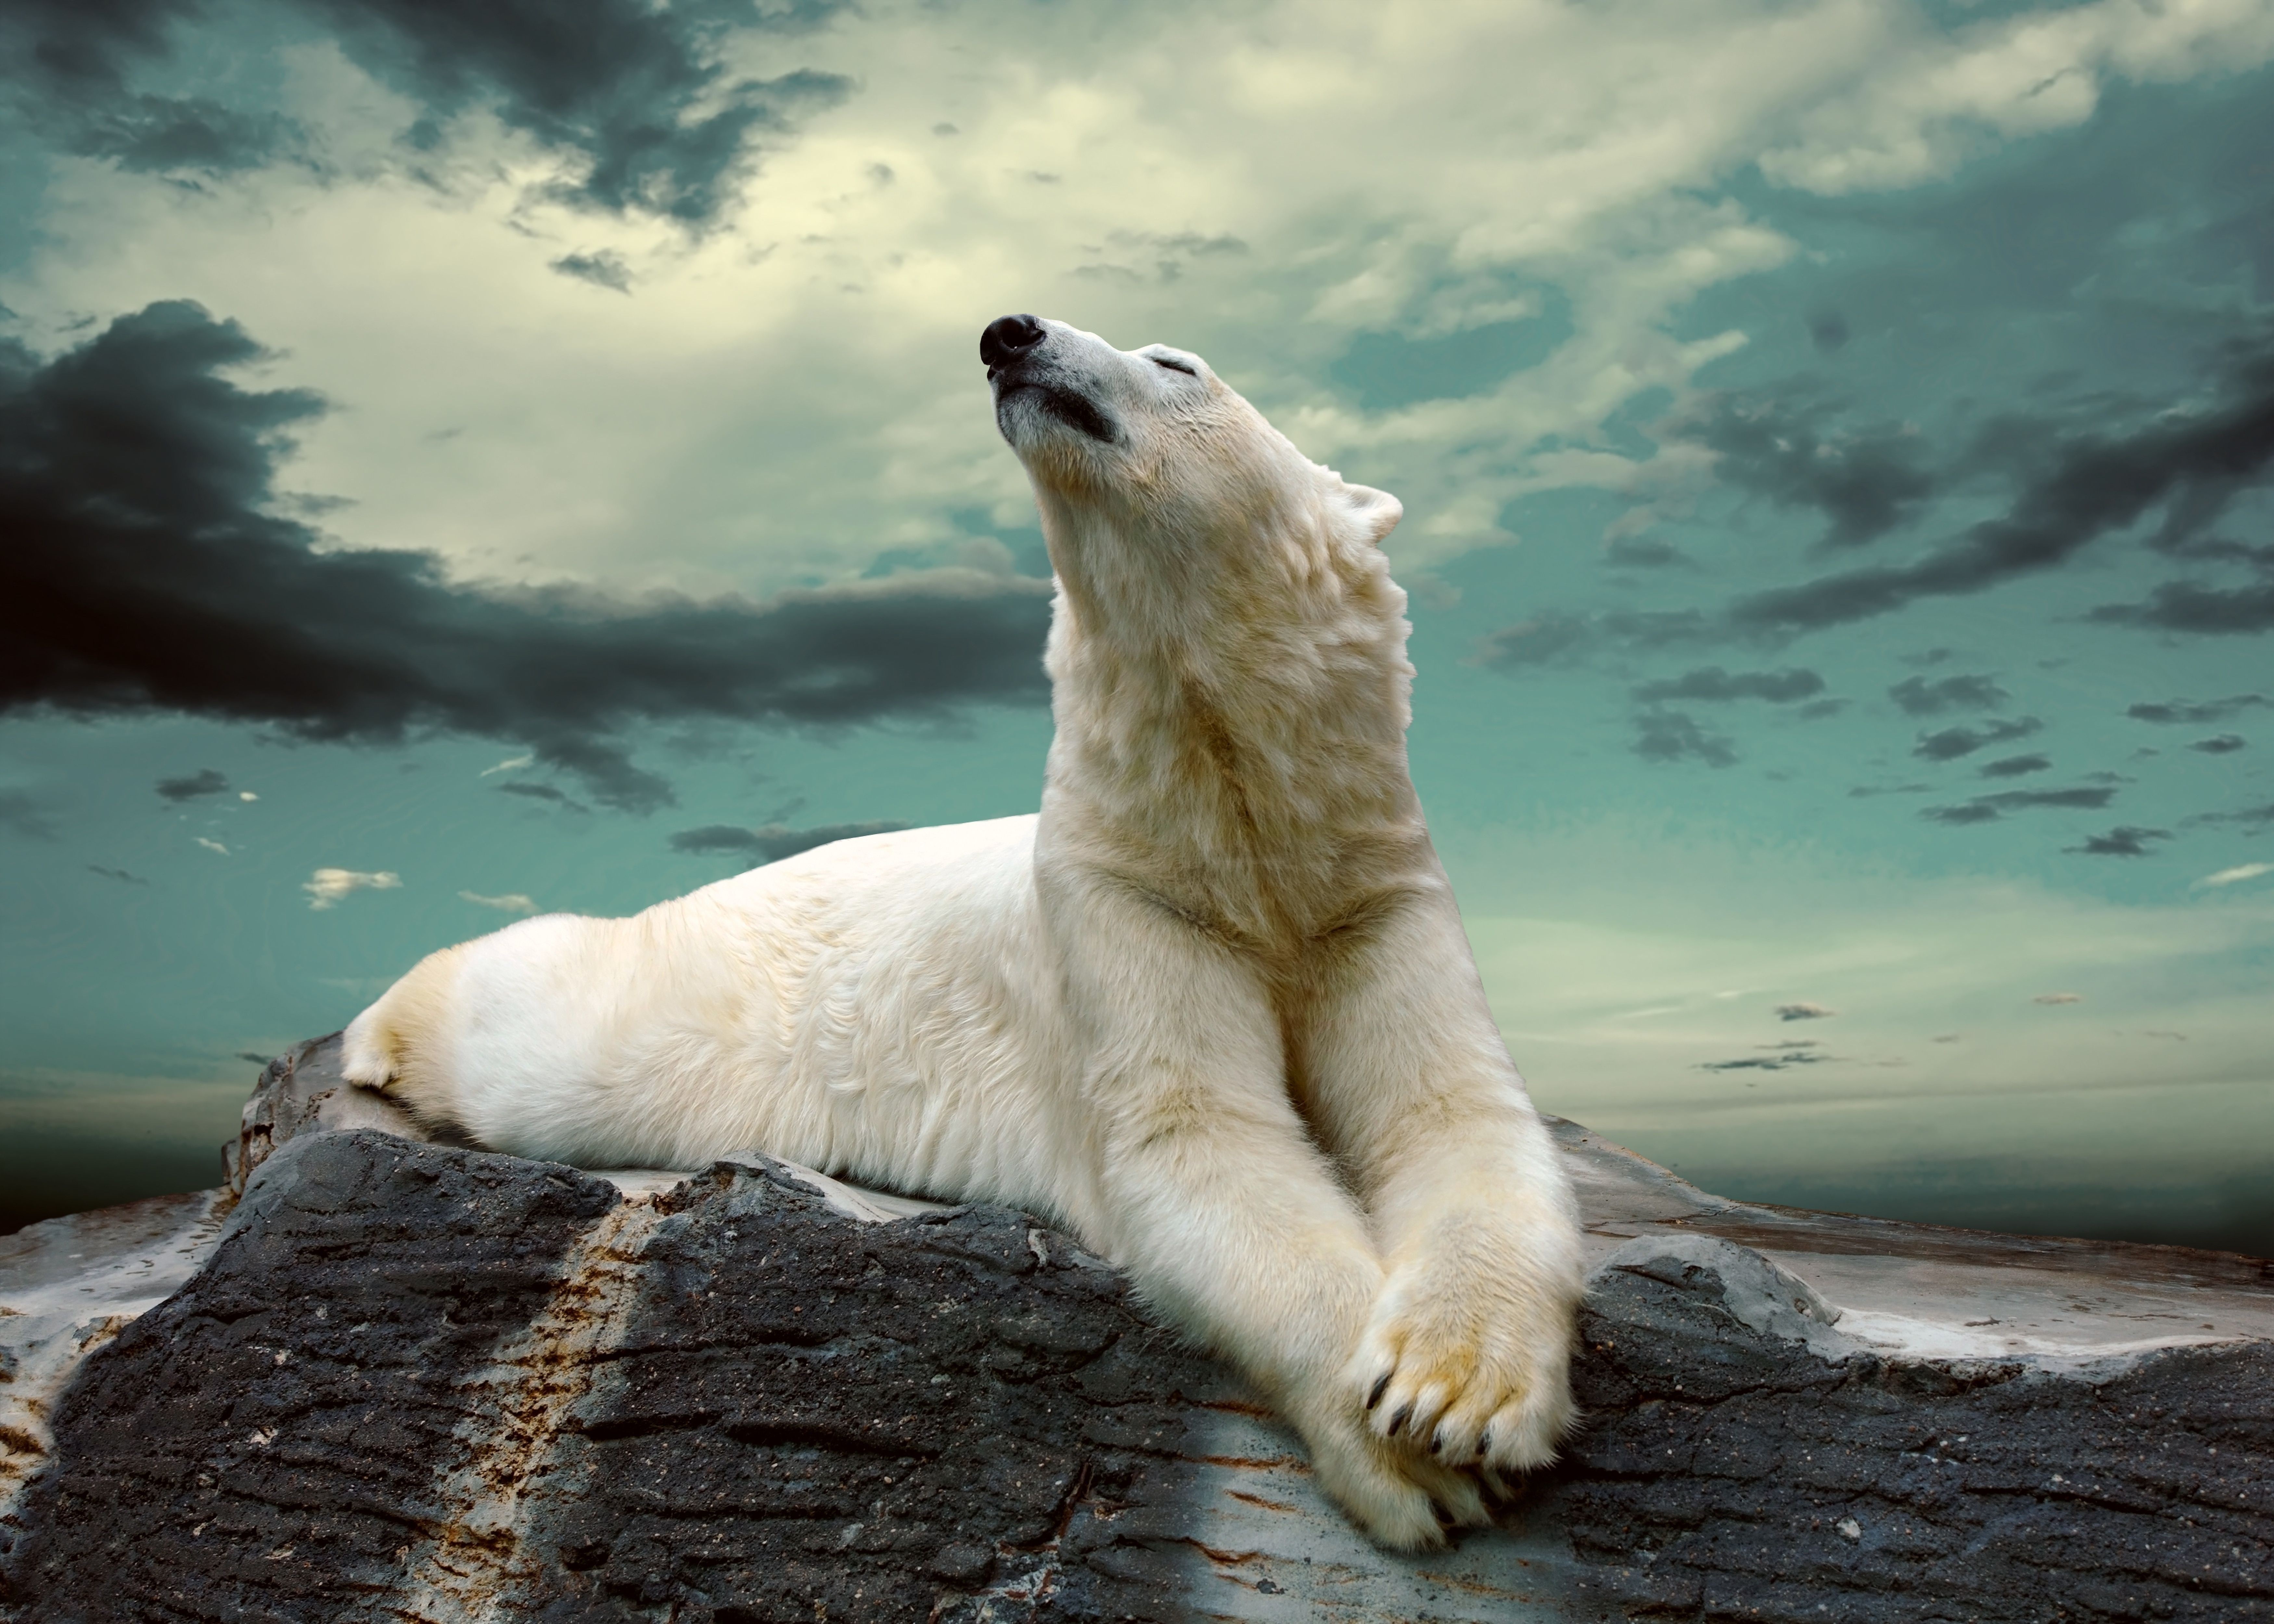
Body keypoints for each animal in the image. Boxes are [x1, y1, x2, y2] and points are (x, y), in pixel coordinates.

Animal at [342, 313, 1584, 1550]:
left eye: (1178, 364)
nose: (1008, 333)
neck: (1238, 828)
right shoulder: (1120, 899)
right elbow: (1199, 1139)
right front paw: (1411, 1459)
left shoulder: (1369, 891)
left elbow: (1453, 1113)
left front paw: (1454, 1391)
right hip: (700, 1005)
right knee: (544, 1043)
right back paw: (377, 1035)